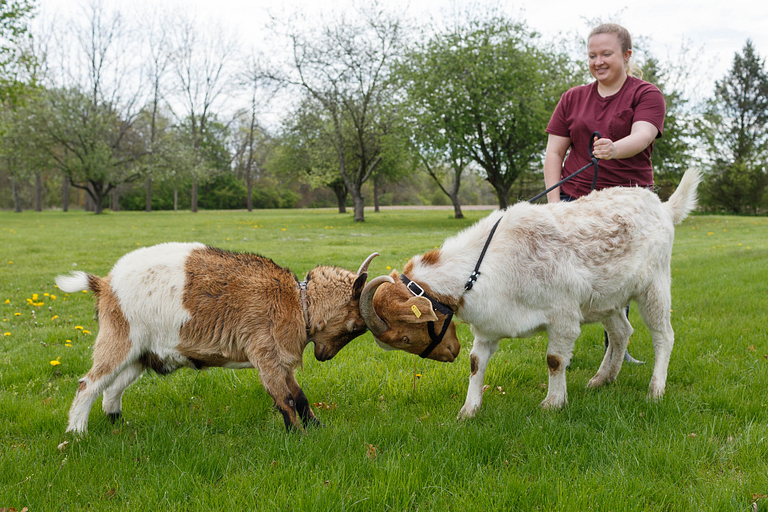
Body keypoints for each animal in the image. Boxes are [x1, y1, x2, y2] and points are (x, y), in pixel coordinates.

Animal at [54, 244, 378, 432]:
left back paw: (117, 421)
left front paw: (318, 428)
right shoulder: (265, 353)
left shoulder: (281, 359)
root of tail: (105, 284)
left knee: (112, 388)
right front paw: (296, 436)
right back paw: (77, 433)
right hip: (120, 338)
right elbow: (284, 398)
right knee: (89, 384)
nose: (325, 356)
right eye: (355, 327)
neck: (297, 302)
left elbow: (299, 395)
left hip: (141, 354)